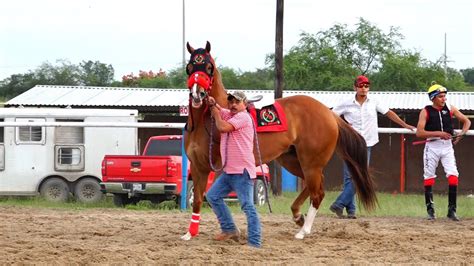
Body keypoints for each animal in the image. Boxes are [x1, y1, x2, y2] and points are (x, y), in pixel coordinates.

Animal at [182, 42, 378, 241]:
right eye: (189, 67)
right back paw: (298, 216)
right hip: (292, 160)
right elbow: (197, 200)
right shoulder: (197, 167)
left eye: (209, 67)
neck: (206, 121)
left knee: (317, 193)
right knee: (314, 186)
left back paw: (303, 231)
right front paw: (190, 233)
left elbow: (214, 198)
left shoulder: (217, 169)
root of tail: (329, 113)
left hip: (311, 163)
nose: (198, 94)